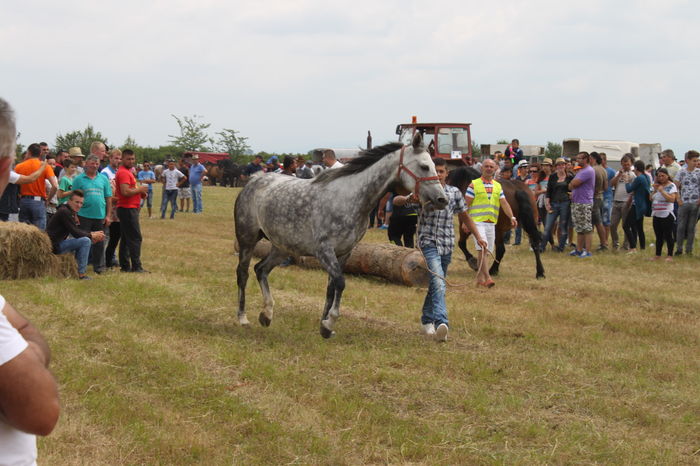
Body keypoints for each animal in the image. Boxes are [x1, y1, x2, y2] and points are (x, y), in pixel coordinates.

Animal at [234, 133, 448, 338]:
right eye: (424, 166)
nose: (442, 200)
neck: (350, 199)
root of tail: (254, 179)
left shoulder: (344, 252)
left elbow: (331, 288)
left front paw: (324, 327)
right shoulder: (324, 251)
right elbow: (340, 282)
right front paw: (329, 322)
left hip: (281, 247)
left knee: (261, 269)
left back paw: (266, 315)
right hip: (247, 240)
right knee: (243, 273)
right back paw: (243, 318)